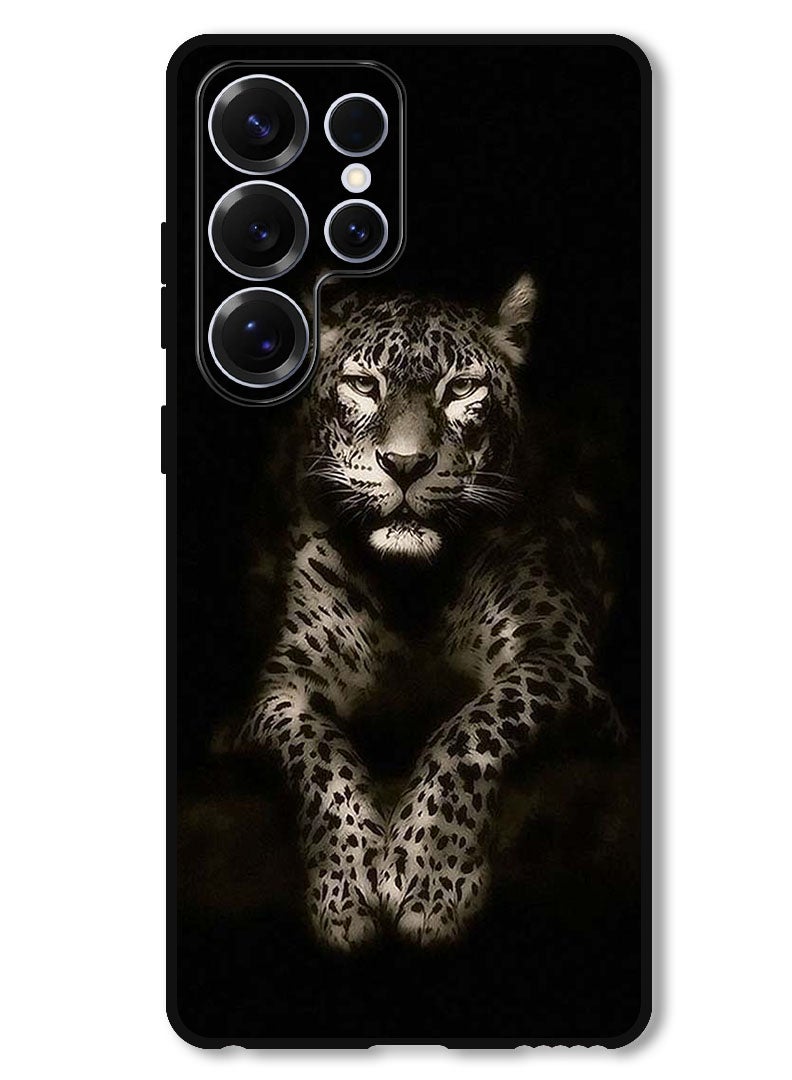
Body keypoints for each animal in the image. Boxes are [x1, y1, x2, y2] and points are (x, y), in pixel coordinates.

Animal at [237, 274, 624, 950]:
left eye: (461, 388)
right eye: (365, 385)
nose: (406, 464)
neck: (410, 589)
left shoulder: (560, 659)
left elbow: (469, 729)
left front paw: (428, 877)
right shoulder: (281, 690)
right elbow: (319, 755)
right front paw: (345, 888)